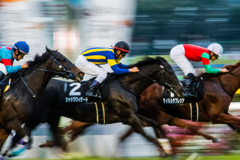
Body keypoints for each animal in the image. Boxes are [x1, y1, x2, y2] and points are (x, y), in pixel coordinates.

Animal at [13, 56, 185, 156]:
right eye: (170, 72)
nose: (182, 90)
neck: (126, 86)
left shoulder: (130, 116)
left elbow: (155, 124)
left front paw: (167, 146)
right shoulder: (130, 118)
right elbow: (149, 137)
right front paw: (165, 150)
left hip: (53, 117)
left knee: (59, 137)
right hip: (38, 117)